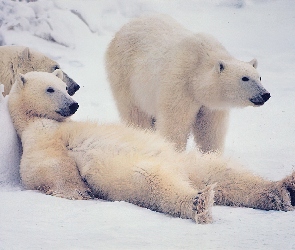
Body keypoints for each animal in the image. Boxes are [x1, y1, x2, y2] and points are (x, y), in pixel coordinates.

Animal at [8, 71, 294, 225]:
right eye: (50, 89)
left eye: (65, 88)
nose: (73, 105)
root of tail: (184, 174)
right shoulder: (38, 138)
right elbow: (48, 166)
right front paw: (78, 192)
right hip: (136, 170)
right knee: (152, 181)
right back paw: (199, 202)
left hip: (186, 160)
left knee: (222, 173)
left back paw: (284, 189)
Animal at [105, 14, 272, 153]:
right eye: (245, 78)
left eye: (259, 77)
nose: (265, 94)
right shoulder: (180, 85)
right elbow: (175, 124)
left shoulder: (210, 106)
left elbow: (210, 130)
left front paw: (211, 156)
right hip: (125, 76)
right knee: (135, 113)